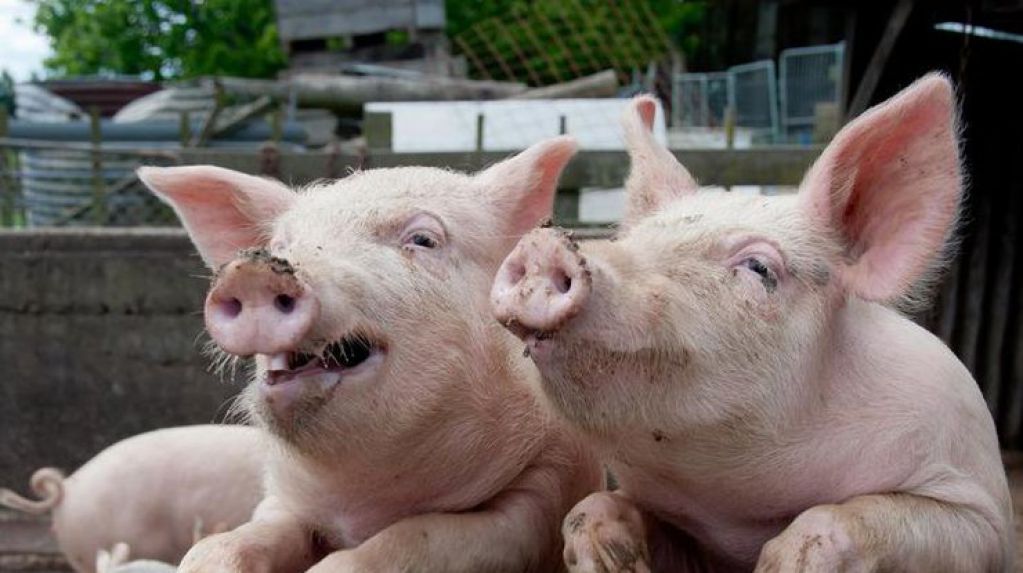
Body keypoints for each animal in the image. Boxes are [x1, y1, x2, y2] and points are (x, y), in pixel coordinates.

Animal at [135, 136, 601, 572]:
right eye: (281, 243)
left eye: (423, 239)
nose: (254, 271)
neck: (363, 501)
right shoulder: (282, 500)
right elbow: (235, 541)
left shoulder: (541, 494)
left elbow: (418, 538)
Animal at [490, 74, 1013, 571]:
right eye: (634, 240)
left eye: (759, 268)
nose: (543, 246)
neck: (739, 512)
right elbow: (589, 507)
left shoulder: (978, 512)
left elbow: (841, 520)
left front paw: (778, 564)